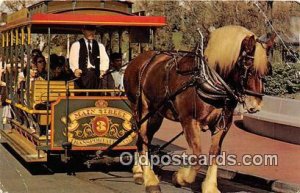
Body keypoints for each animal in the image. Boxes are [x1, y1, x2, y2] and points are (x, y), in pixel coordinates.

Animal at [123, 25, 274, 193]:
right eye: (247, 67)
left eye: (267, 70)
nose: (255, 105)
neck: (207, 80)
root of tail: (137, 60)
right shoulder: (189, 121)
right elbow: (197, 155)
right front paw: (180, 178)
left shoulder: (222, 125)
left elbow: (214, 153)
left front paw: (210, 186)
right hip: (141, 109)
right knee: (142, 138)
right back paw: (150, 180)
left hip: (156, 114)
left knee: (144, 138)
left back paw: (139, 172)